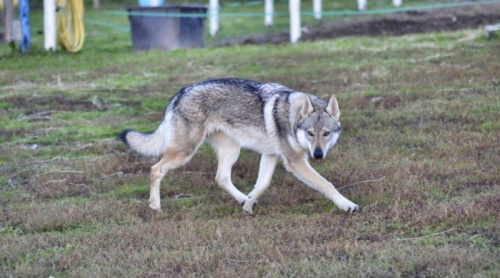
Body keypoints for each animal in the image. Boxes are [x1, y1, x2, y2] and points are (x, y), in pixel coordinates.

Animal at [118, 78, 360, 215]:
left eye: (326, 134)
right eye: (310, 134)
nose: (318, 155)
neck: (292, 118)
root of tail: (181, 92)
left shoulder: (270, 155)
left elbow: (262, 185)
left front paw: (248, 205)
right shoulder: (295, 162)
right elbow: (327, 184)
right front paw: (347, 205)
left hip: (231, 151)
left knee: (221, 178)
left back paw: (242, 198)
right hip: (185, 153)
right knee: (155, 169)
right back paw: (155, 206)